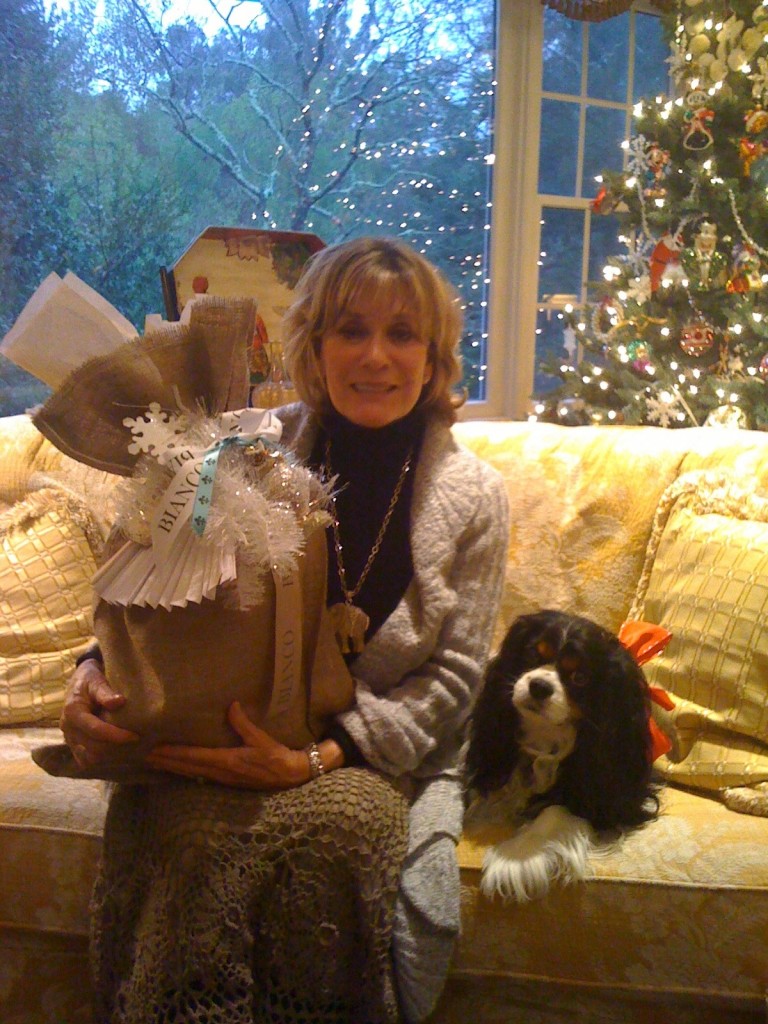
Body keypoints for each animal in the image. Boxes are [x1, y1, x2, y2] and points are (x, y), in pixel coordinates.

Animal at [462, 610, 663, 901]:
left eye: (580, 677)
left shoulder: (611, 795)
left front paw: (516, 855)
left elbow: (556, 809)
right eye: (533, 654)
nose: (539, 686)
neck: (546, 732)